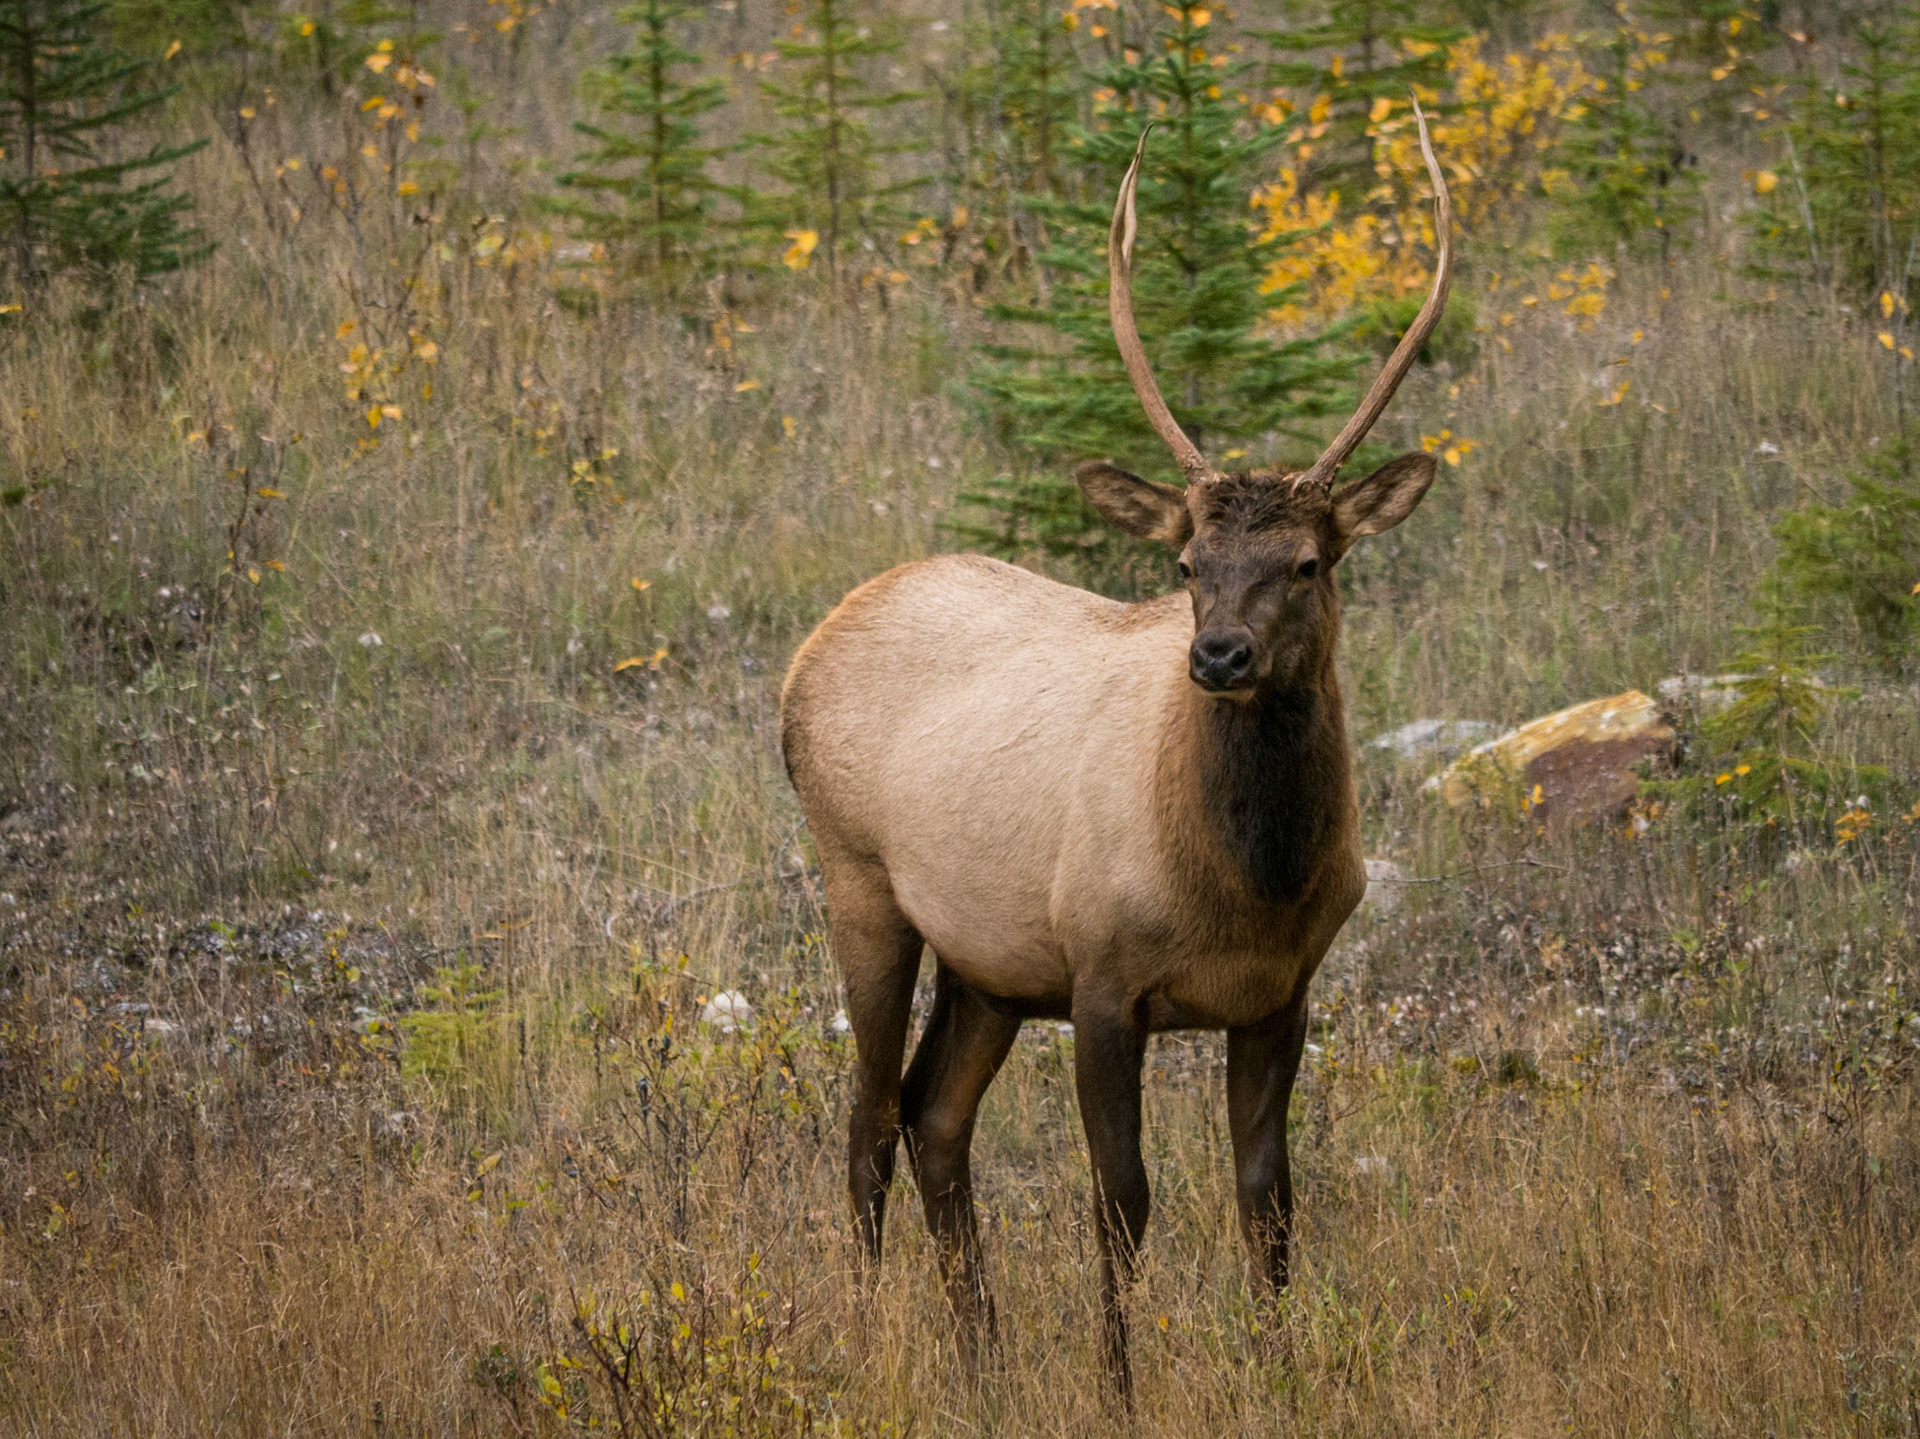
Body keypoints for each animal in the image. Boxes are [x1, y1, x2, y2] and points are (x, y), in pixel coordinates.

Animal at [780, 104, 1452, 1394]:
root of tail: (812, 642)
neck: (1248, 883)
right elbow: (1123, 1200)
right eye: (1187, 562)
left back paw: (983, 1354)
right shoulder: (1101, 975)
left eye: (1309, 560)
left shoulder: (1281, 993)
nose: (1221, 655)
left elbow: (1267, 1200)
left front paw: (1279, 1370)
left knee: (935, 1116)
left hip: (989, 959)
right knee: (867, 1122)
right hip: (861, 884)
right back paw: (868, 1336)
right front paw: (1118, 1379)